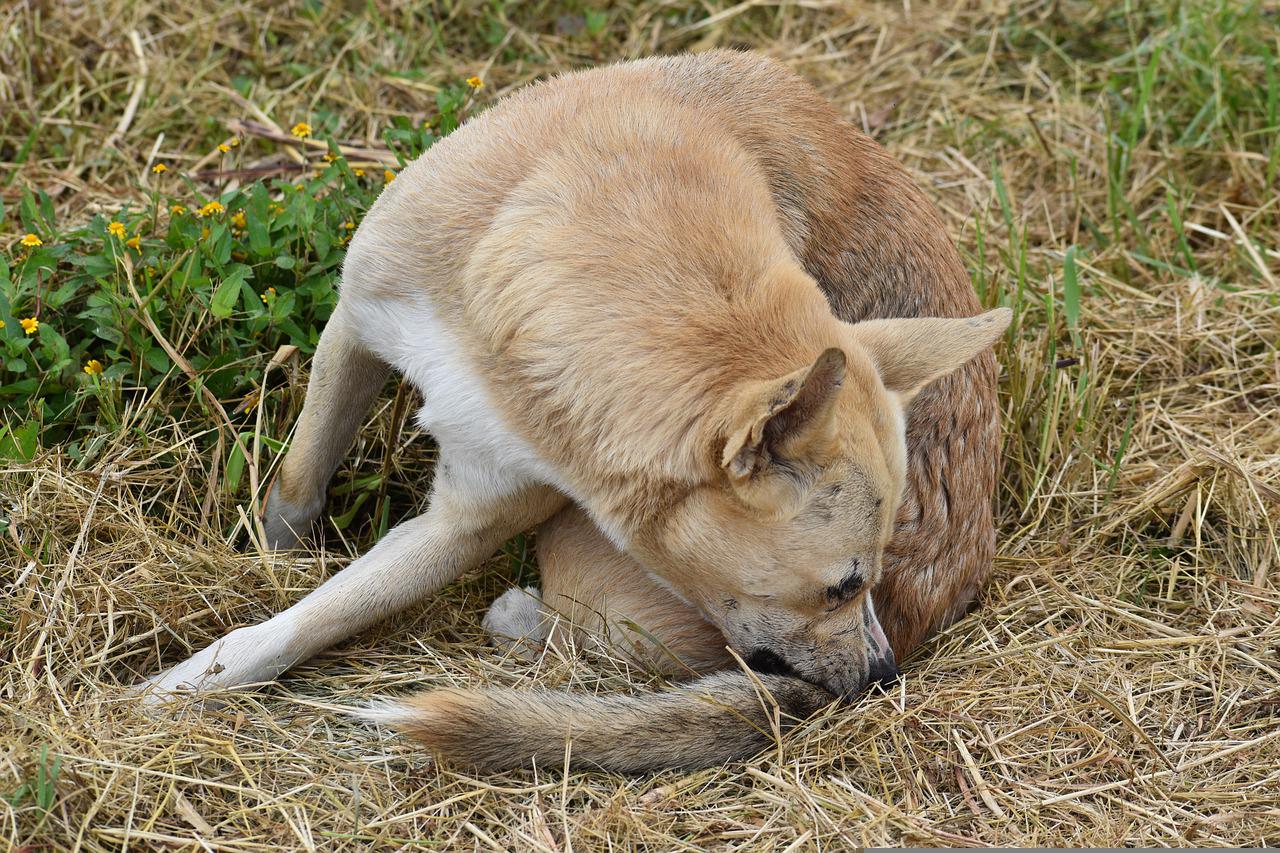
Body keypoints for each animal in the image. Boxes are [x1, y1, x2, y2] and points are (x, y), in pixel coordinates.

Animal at [137, 51, 998, 768]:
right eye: (843, 586)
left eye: (865, 579)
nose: (883, 678)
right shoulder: (355, 326)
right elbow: (298, 484)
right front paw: (270, 564)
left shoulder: (467, 521)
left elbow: (316, 617)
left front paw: (180, 685)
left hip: (581, 563)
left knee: (581, 643)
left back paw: (520, 619)